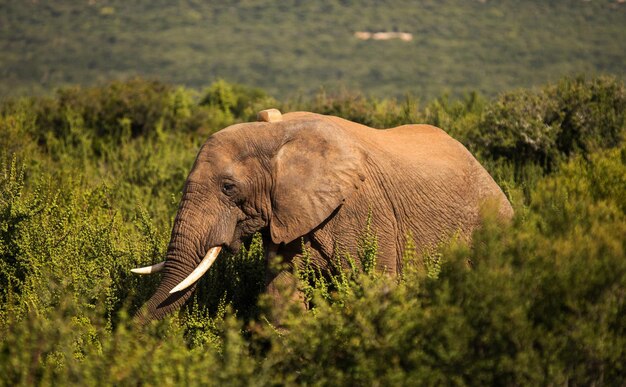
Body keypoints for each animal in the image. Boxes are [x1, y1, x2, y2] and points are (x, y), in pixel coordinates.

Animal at [132, 109, 512, 324]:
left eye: (228, 187)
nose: (125, 333)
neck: (275, 134)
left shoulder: (362, 208)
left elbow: (373, 285)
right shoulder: (287, 214)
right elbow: (281, 291)